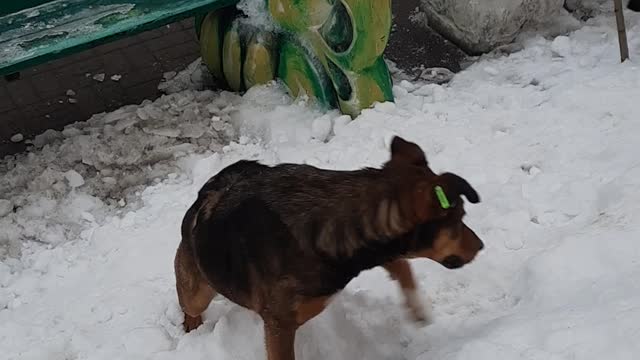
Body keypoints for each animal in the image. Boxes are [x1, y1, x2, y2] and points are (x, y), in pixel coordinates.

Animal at [172, 136, 482, 360]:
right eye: (460, 218)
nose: (481, 246)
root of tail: (206, 193)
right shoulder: (279, 325)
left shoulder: (372, 248)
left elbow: (401, 266)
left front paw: (417, 308)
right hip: (198, 287)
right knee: (190, 306)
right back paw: (191, 330)